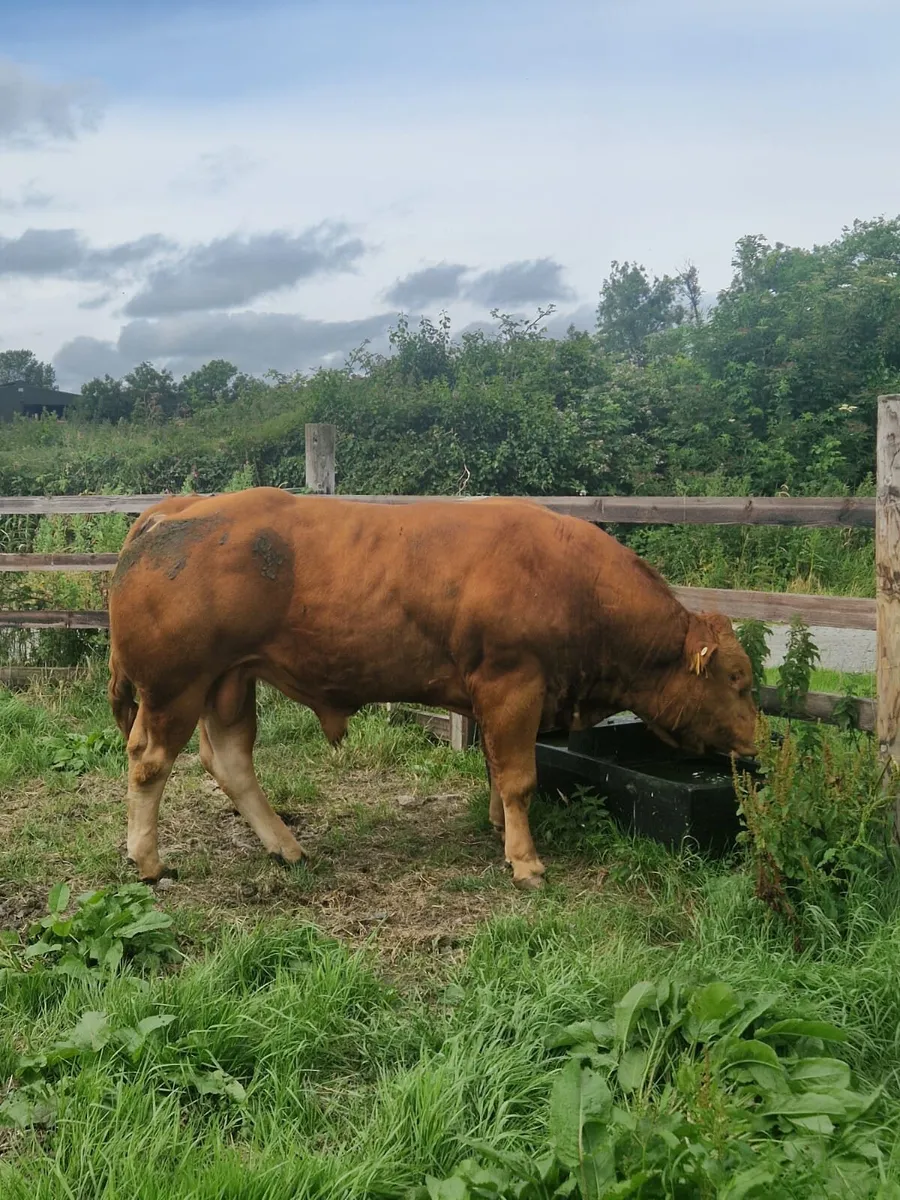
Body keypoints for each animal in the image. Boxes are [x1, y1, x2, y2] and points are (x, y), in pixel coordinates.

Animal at [107, 488, 758, 890]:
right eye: (738, 680)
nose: (758, 741)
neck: (574, 582)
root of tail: (176, 509)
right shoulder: (513, 682)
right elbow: (519, 777)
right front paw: (526, 862)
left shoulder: (498, 699)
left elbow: (496, 768)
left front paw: (498, 827)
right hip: (174, 688)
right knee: (149, 761)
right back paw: (148, 861)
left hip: (229, 683)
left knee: (230, 761)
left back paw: (286, 847)